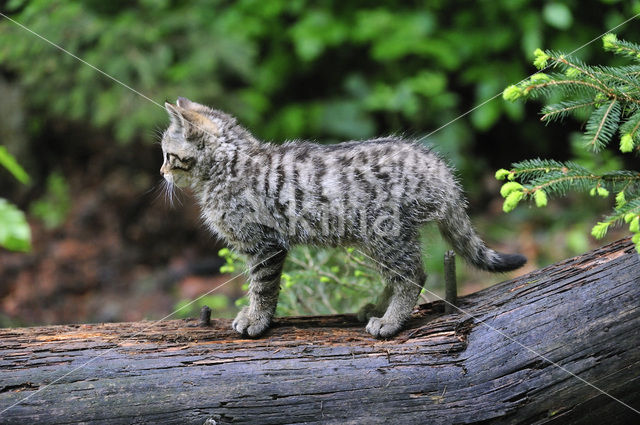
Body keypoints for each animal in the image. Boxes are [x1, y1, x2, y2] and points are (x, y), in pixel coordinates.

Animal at [160, 96, 524, 338]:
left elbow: (262, 286)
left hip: (386, 234)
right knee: (396, 275)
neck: (229, 166)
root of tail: (438, 169)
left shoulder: (265, 245)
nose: (162, 172)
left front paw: (256, 320)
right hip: (375, 240)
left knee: (413, 275)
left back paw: (390, 321)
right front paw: (253, 315)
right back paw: (377, 308)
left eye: (167, 155)